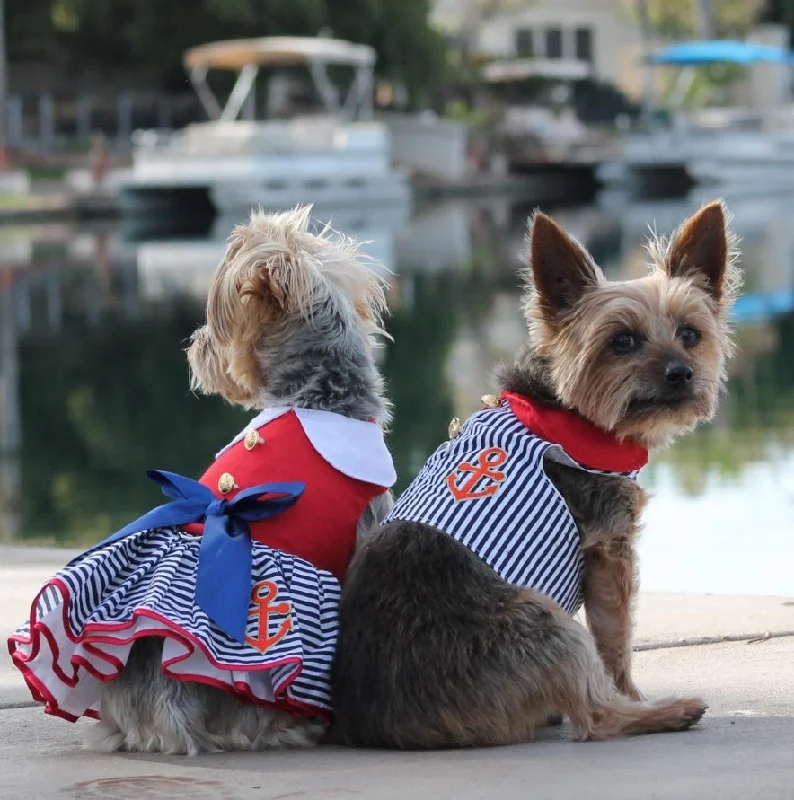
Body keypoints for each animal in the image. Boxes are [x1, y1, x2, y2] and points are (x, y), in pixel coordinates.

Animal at [332, 202, 740, 752]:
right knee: (595, 718)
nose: (680, 373)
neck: (568, 410)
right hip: (546, 621)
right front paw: (632, 695)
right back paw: (666, 712)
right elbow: (616, 641)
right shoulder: (609, 549)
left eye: (691, 334)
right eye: (622, 341)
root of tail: (382, 722)